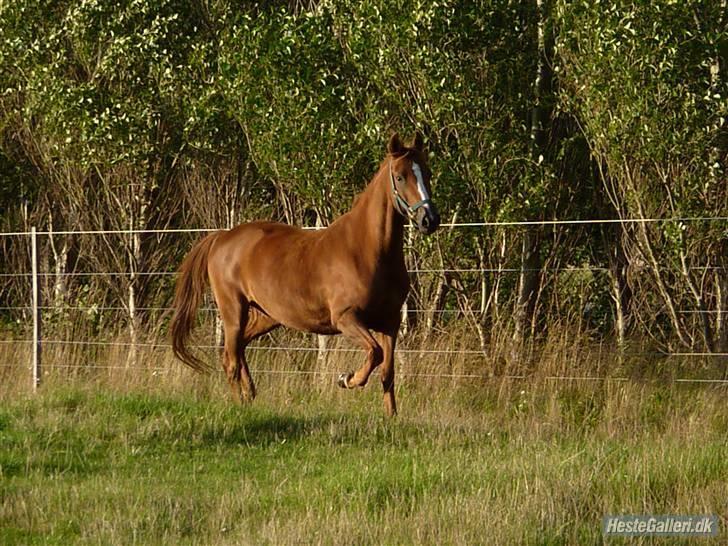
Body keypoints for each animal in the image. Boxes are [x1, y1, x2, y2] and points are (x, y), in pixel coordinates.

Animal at [171, 134, 440, 414]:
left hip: (266, 315)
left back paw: (249, 396)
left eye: (427, 172)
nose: (429, 220)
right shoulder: (346, 318)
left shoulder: (390, 322)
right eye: (399, 176)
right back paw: (239, 405)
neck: (367, 250)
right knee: (230, 360)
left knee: (240, 349)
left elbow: (387, 373)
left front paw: (391, 417)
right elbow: (374, 353)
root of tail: (222, 237)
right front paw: (346, 379)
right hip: (233, 310)